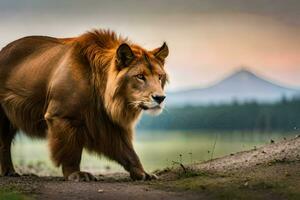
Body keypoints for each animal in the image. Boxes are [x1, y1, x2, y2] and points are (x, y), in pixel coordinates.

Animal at [0, 29, 169, 181]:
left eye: (159, 76)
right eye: (140, 76)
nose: (160, 98)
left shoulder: (109, 122)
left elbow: (129, 152)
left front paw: (143, 173)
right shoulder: (62, 116)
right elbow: (71, 150)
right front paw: (76, 174)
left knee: (5, 143)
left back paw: (10, 172)